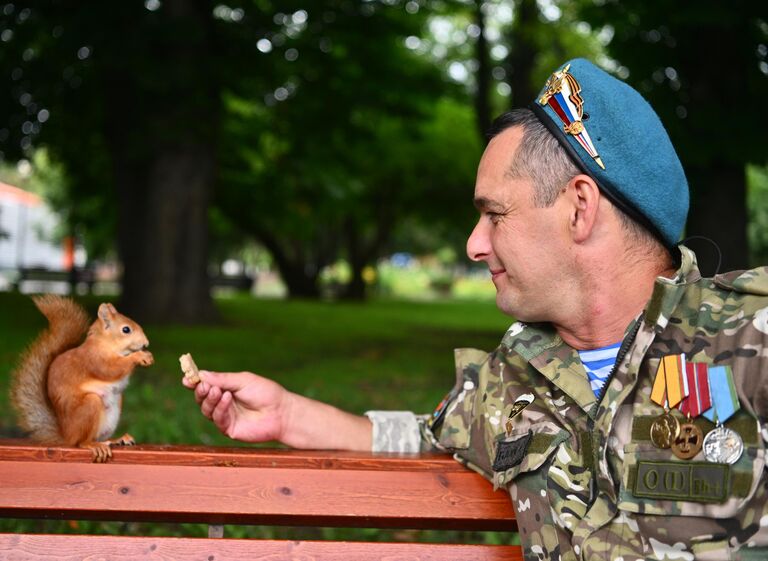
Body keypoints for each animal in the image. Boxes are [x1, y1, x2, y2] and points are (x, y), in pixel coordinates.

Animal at [10, 296, 153, 462]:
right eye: (126, 329)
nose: (146, 343)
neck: (105, 344)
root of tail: (67, 436)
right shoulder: (93, 360)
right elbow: (112, 369)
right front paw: (139, 356)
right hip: (90, 405)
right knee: (81, 442)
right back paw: (93, 445)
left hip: (115, 409)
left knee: (99, 437)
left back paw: (117, 439)